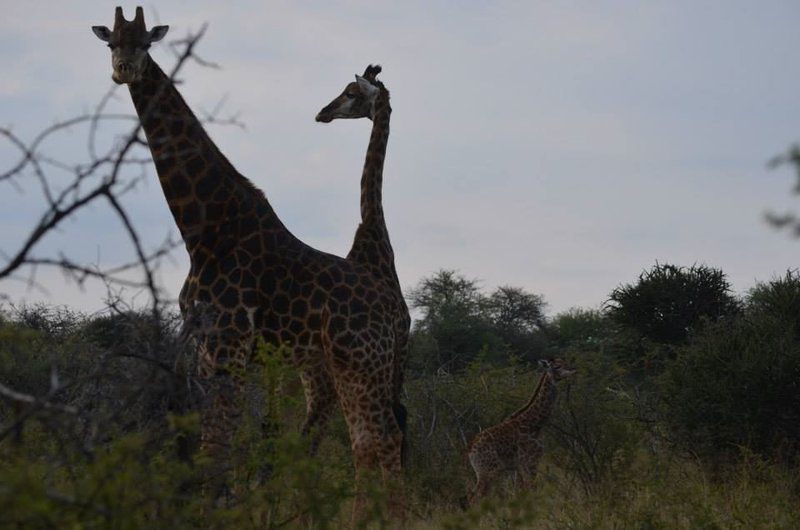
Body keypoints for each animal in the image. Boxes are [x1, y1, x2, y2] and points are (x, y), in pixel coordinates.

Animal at [92, 5, 406, 516]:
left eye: (146, 44)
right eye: (111, 42)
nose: (123, 71)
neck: (204, 232)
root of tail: (387, 305)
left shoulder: (229, 350)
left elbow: (217, 451)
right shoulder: (206, 354)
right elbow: (227, 450)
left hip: (363, 361)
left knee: (381, 438)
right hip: (348, 366)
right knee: (370, 439)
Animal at [462, 356, 576, 502]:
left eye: (565, 361)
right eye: (557, 366)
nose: (573, 369)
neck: (534, 423)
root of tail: (470, 448)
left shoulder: (518, 467)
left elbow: (520, 492)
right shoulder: (530, 462)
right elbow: (531, 490)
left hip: (482, 470)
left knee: (473, 495)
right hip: (488, 470)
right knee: (476, 497)